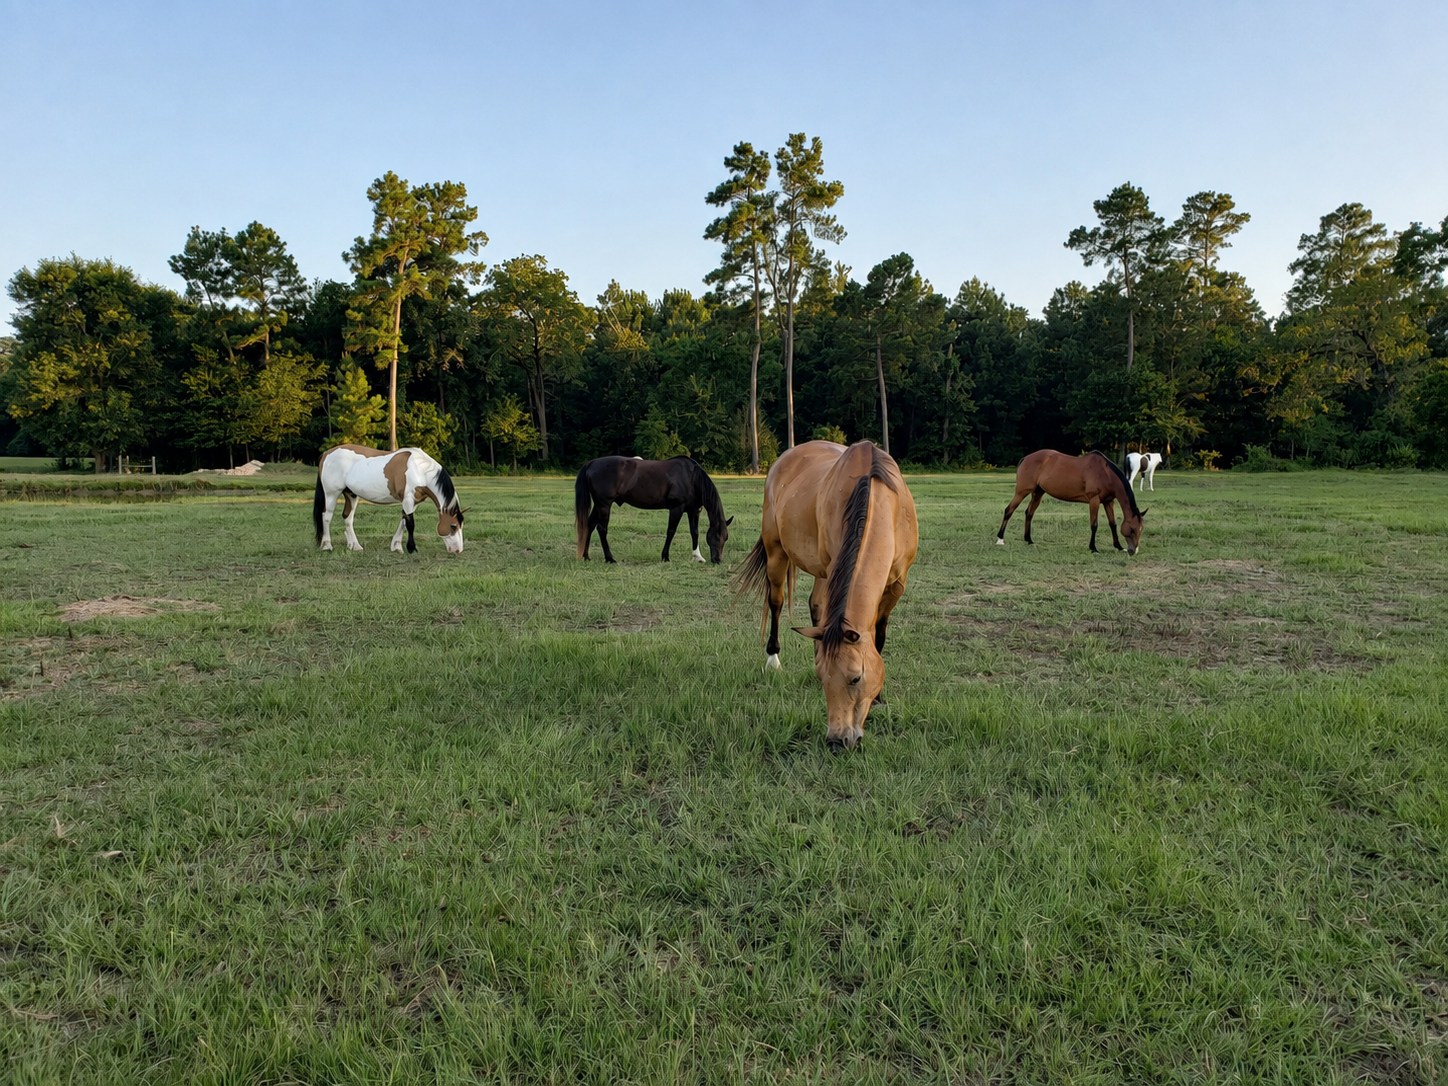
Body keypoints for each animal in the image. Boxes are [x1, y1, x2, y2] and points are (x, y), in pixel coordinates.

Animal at [314, 444, 464, 554]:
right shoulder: (408, 500)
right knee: (326, 517)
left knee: (348, 518)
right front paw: (411, 548)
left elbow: (403, 521)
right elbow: (410, 524)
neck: (419, 469)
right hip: (331, 494)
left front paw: (396, 546)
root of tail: (326, 454)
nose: (458, 550)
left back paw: (355, 546)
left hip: (351, 495)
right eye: (453, 526)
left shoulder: (411, 502)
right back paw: (327, 545)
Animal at [575, 455, 732, 564]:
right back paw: (610, 559)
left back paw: (586, 556)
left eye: (726, 537)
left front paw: (697, 557)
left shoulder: (693, 511)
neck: (691, 477)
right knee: (602, 529)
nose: (718, 560)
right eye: (716, 536)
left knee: (589, 525)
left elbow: (695, 533)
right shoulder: (677, 508)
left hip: (598, 505)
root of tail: (590, 464)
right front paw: (665, 557)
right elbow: (671, 531)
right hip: (604, 505)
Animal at [732, 440, 918, 752]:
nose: (836, 742)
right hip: (776, 552)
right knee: (776, 602)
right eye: (823, 680)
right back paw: (773, 658)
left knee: (816, 607)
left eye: (856, 678)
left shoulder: (896, 585)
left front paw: (880, 698)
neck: (881, 502)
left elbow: (879, 635)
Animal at [996, 450, 1146, 555]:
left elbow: (1113, 524)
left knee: (1029, 513)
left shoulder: (1108, 502)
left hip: (1038, 493)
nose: (1133, 551)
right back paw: (1000, 539)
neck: (1105, 473)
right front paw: (1093, 548)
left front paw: (1119, 547)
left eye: (1141, 529)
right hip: (1022, 492)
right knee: (1009, 510)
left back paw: (1029, 540)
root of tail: (1026, 458)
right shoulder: (1094, 500)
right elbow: (1094, 525)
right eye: (1132, 529)